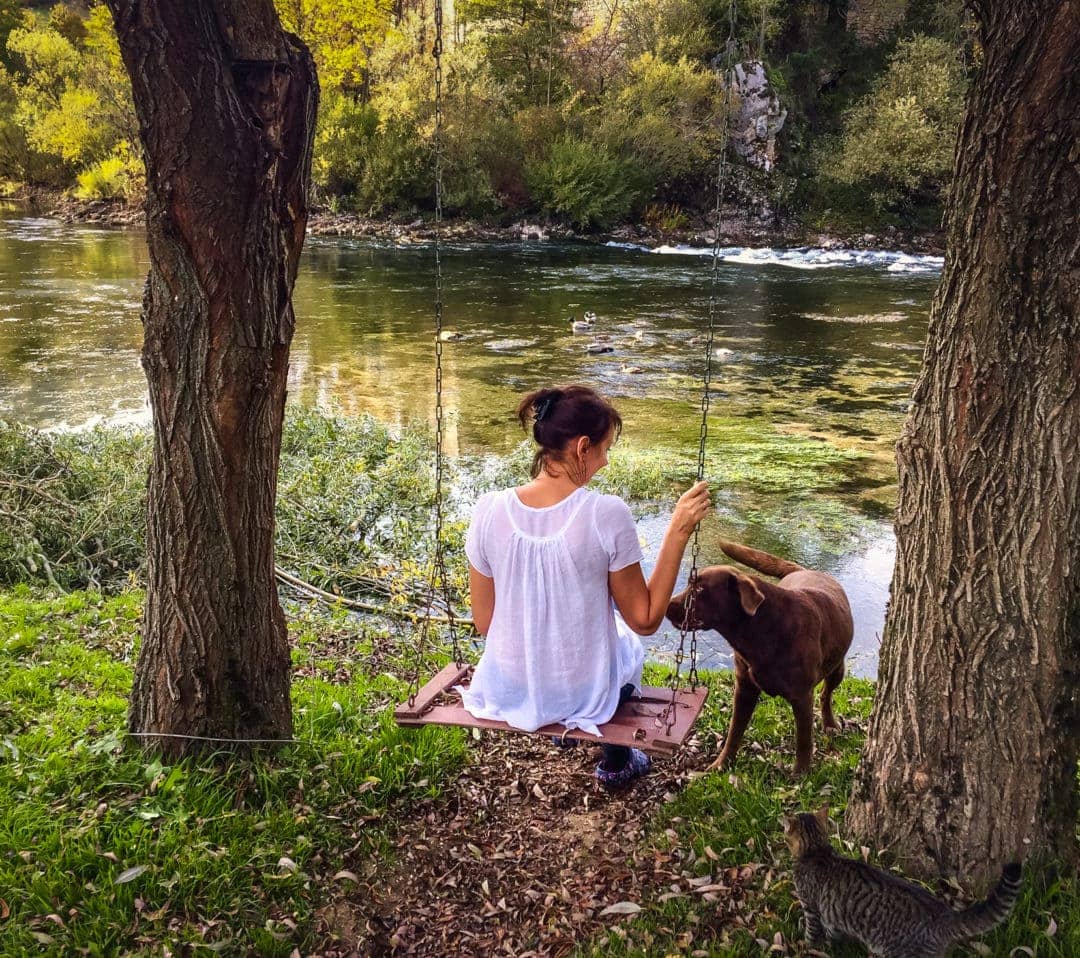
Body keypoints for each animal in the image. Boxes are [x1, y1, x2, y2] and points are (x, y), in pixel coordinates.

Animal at [665, 542, 851, 777]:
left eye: (699, 589)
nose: (666, 606)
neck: (761, 630)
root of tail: (803, 569)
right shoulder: (744, 688)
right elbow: (734, 731)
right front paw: (722, 764)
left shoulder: (802, 696)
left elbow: (804, 740)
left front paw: (800, 774)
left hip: (838, 668)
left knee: (826, 694)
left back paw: (830, 724)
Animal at [786, 807, 1019, 958]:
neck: (816, 850)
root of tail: (945, 914)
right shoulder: (830, 915)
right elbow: (832, 932)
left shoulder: (810, 906)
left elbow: (812, 932)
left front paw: (805, 946)